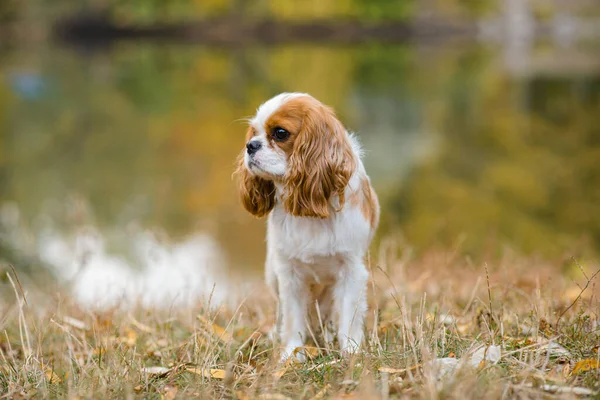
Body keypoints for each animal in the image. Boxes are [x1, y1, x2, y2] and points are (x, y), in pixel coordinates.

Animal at [236, 92, 380, 360]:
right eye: (254, 133)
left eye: (280, 133)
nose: (251, 146)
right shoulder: (288, 274)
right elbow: (293, 319)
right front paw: (292, 354)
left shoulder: (351, 270)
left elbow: (349, 317)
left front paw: (351, 352)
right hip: (272, 274)